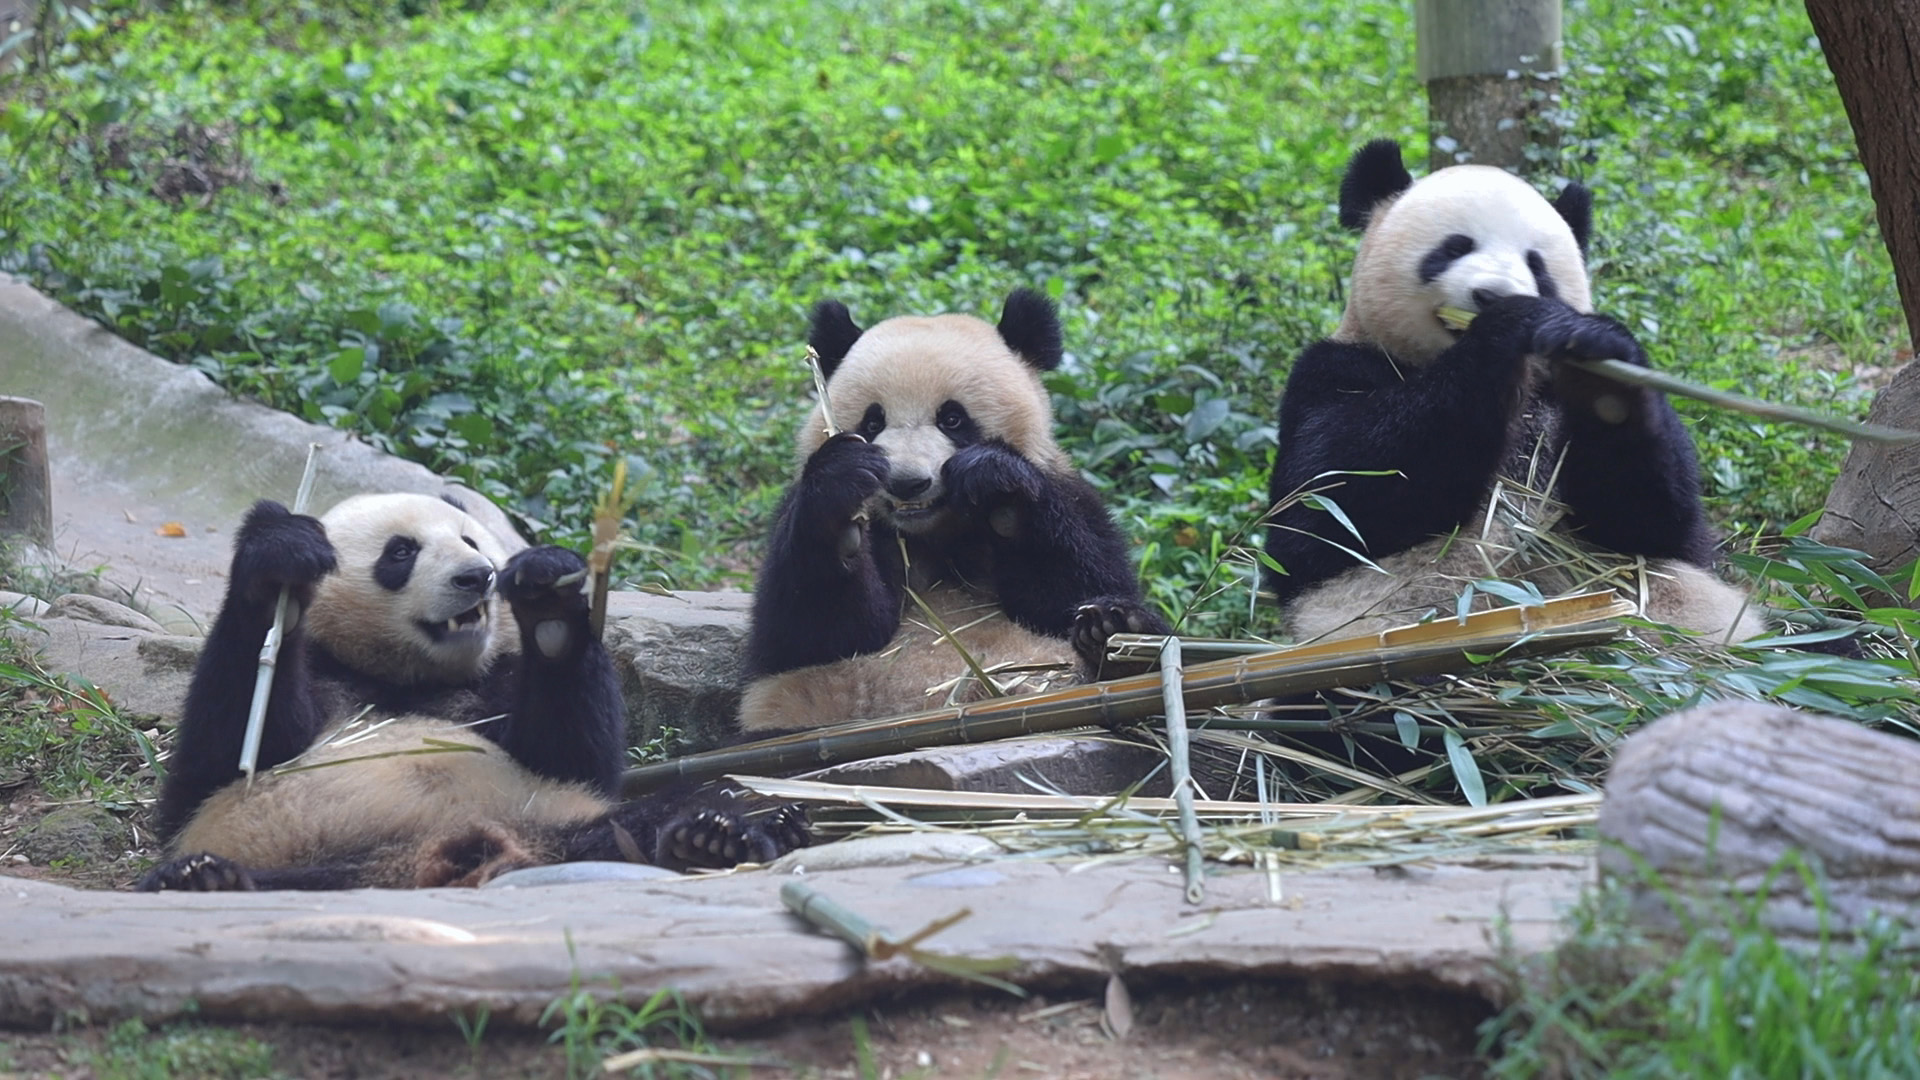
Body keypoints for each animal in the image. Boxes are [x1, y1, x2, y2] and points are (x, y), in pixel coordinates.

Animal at [141, 493, 807, 891]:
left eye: (472, 541)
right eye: (400, 552)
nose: (476, 578)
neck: (412, 680)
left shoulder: (495, 691)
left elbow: (572, 759)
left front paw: (546, 598)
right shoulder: (328, 680)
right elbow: (221, 765)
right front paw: (277, 560)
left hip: (543, 820)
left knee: (667, 807)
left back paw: (720, 833)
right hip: (310, 857)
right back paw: (207, 880)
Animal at [735, 288, 1171, 737]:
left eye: (952, 418)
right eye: (873, 422)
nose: (907, 483)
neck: (934, 532)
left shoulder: (1068, 491)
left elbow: (1075, 586)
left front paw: (999, 489)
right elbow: (808, 635)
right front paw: (841, 506)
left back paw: (1114, 636)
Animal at [1264, 139, 1764, 644]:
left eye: (1536, 264)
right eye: (1455, 247)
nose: (1493, 294)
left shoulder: (1562, 407)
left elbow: (1656, 524)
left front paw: (1595, 350)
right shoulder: (1330, 374)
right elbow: (1326, 510)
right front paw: (1509, 323)